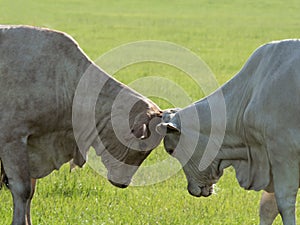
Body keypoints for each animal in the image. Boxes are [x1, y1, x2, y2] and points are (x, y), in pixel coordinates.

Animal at [0, 25, 163, 224]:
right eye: (141, 146)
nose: (123, 183)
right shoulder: (12, 139)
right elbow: (22, 191)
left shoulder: (33, 144)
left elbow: (30, 192)